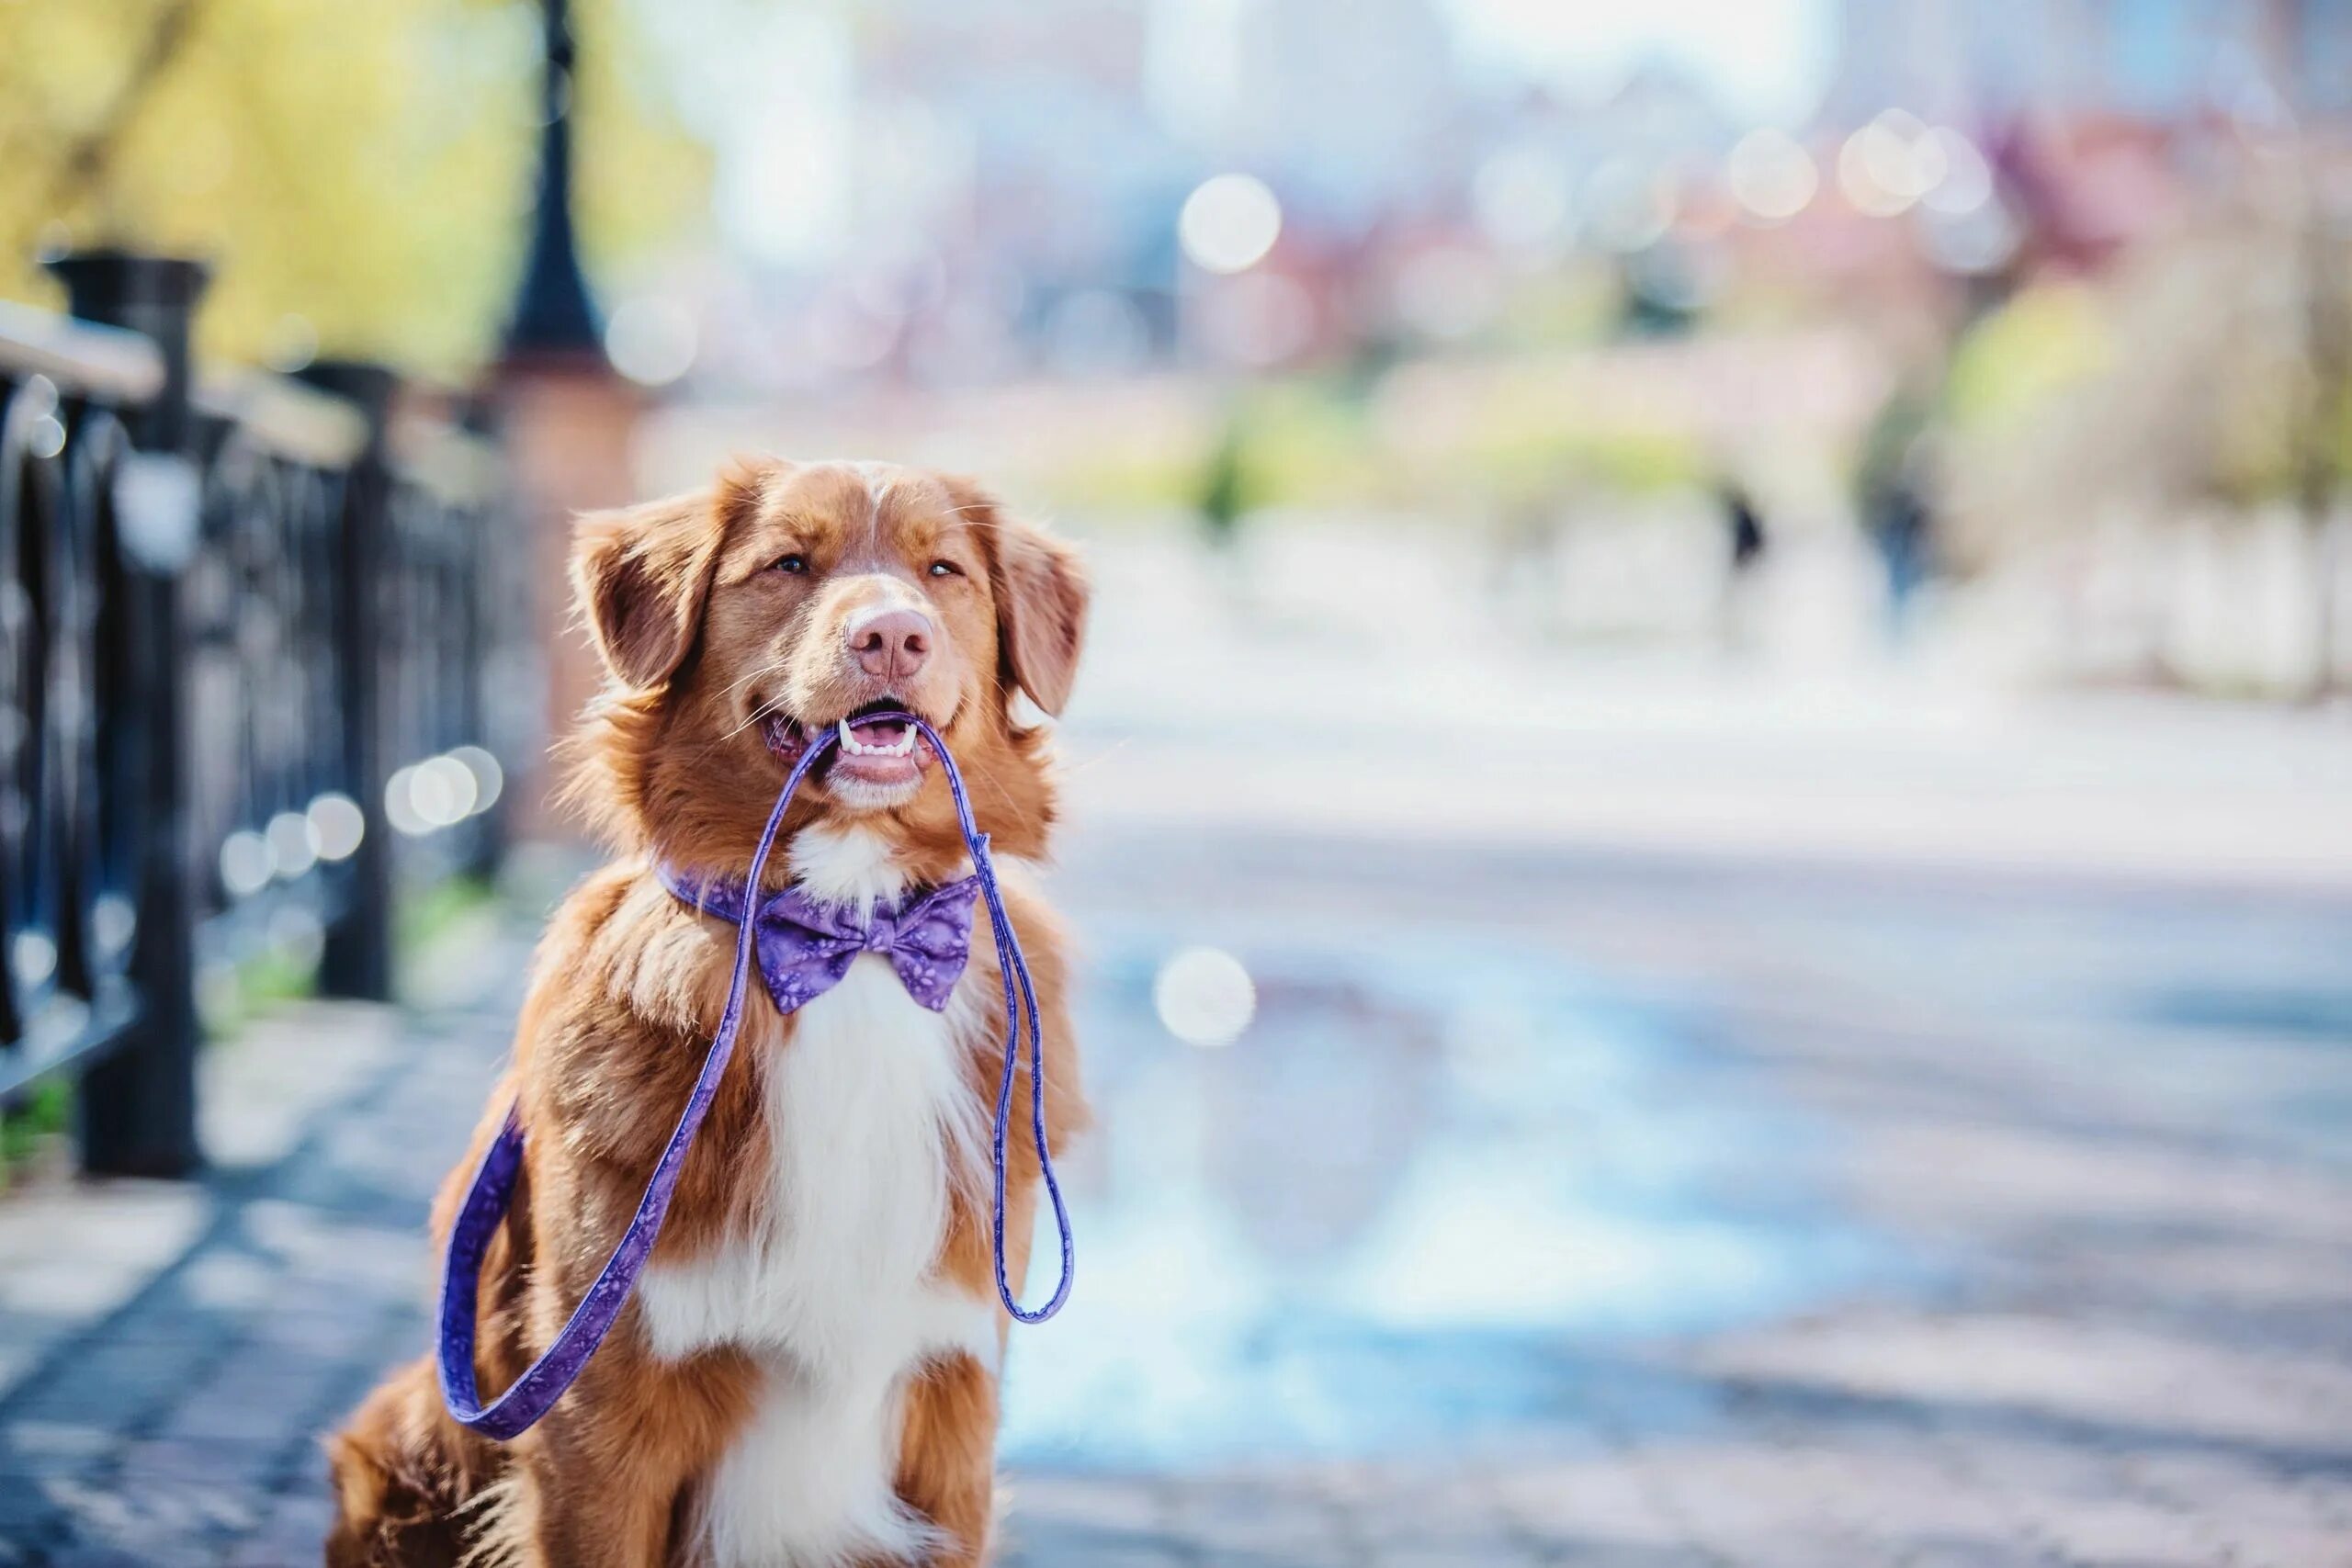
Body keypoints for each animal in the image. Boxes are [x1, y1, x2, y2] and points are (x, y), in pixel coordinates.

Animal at [329, 460, 1091, 1561]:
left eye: (943, 570)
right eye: (788, 564)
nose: (892, 635)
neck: (850, 943)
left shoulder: (954, 1416)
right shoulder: (596, 1422)